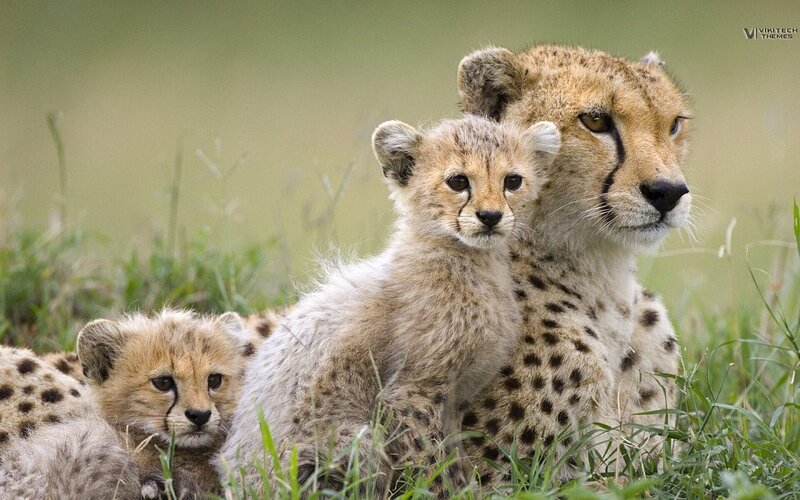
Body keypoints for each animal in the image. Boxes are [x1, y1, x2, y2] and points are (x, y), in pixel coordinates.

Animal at [217, 114, 561, 496]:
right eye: (458, 181)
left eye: (512, 181)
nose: (490, 216)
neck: (469, 261)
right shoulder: (409, 393)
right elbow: (431, 462)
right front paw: (438, 492)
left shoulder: (454, 401)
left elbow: (454, 459)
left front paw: (466, 489)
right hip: (351, 442)